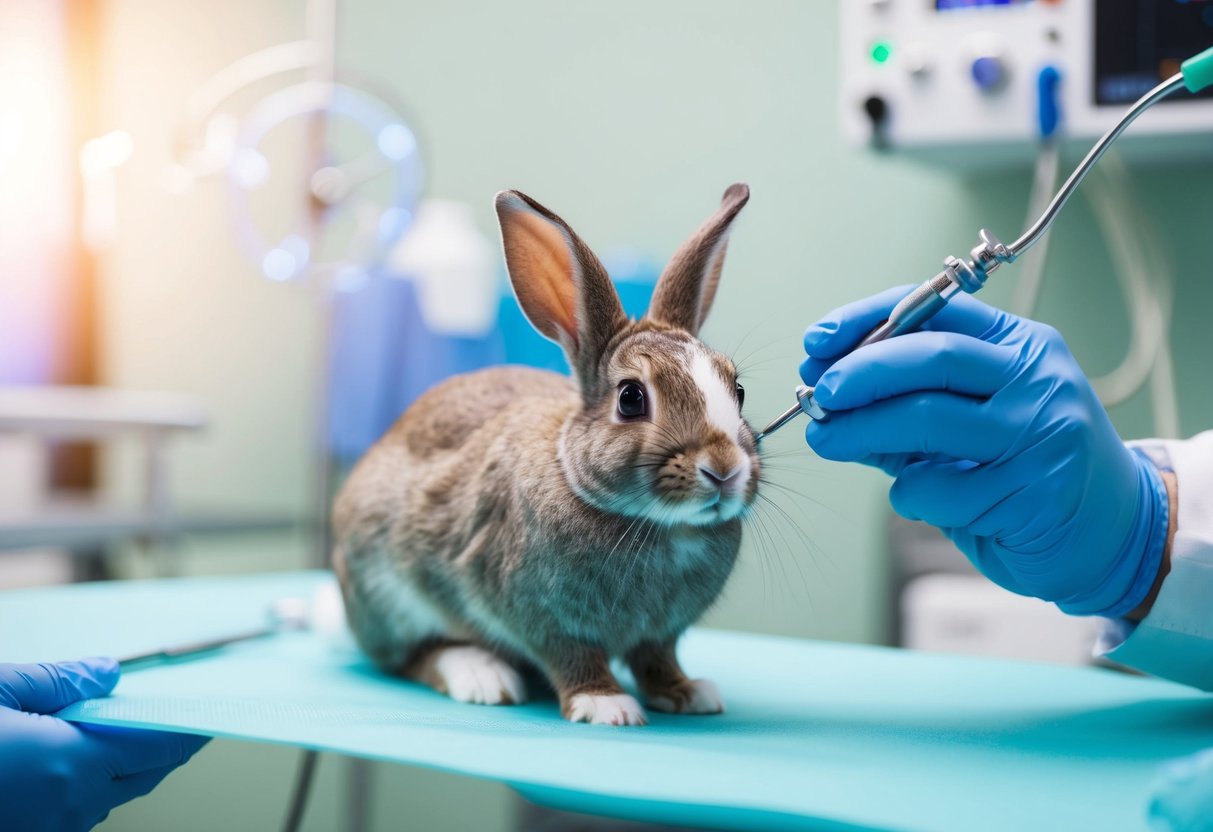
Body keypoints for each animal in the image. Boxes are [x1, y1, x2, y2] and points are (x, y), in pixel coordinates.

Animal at [332, 185, 761, 727]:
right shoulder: (540, 616)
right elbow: (572, 657)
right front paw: (606, 705)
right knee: (411, 657)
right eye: (631, 398)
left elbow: (658, 660)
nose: (724, 469)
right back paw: (483, 677)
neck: (663, 528)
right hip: (388, 593)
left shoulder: (662, 634)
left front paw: (688, 693)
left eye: (738, 390)